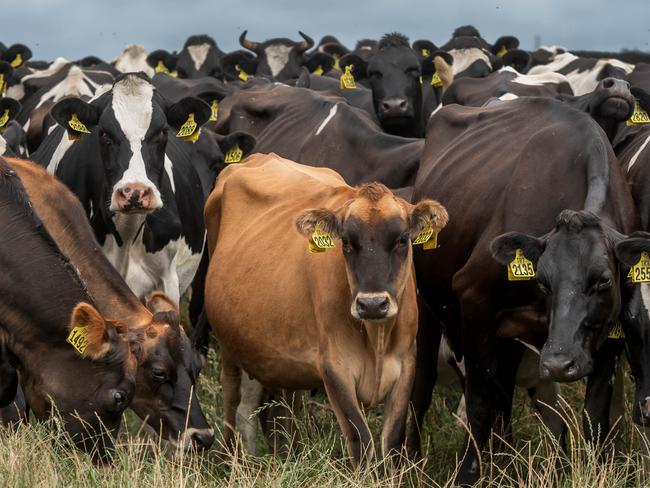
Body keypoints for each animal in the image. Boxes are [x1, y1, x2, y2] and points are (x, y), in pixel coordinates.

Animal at [202, 154, 446, 468]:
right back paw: (229, 461)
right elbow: (361, 440)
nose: (372, 303)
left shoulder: (406, 364)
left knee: (283, 408)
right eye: (347, 242)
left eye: (403, 239)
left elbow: (392, 442)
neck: (376, 337)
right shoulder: (335, 367)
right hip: (229, 343)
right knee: (233, 401)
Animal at [408, 97, 640, 486]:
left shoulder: (610, 333)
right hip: (427, 306)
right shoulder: (474, 301)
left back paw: (505, 465)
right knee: (422, 386)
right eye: (542, 281)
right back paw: (405, 461)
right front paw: (468, 474)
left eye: (603, 280)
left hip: (507, 339)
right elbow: (479, 403)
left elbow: (594, 415)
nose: (558, 363)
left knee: (502, 399)